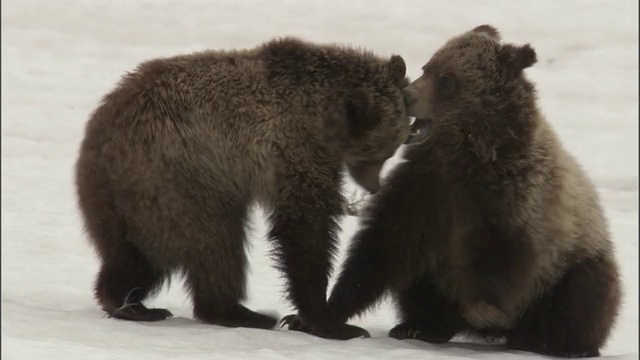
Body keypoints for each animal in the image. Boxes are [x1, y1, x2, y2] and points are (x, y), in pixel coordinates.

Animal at [76, 36, 424, 334]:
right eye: (378, 152)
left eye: (392, 149)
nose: (374, 187)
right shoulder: (292, 148)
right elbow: (304, 227)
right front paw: (326, 319)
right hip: (177, 178)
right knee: (215, 241)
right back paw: (235, 312)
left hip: (126, 199)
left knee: (137, 252)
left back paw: (129, 300)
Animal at [282, 25, 620, 358]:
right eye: (426, 67)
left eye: (447, 81)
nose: (407, 96)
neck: (467, 156)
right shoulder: (425, 188)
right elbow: (380, 249)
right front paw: (313, 316)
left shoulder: (515, 200)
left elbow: (502, 257)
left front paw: (484, 309)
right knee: (421, 284)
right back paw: (419, 327)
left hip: (575, 259)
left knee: (581, 295)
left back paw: (556, 343)